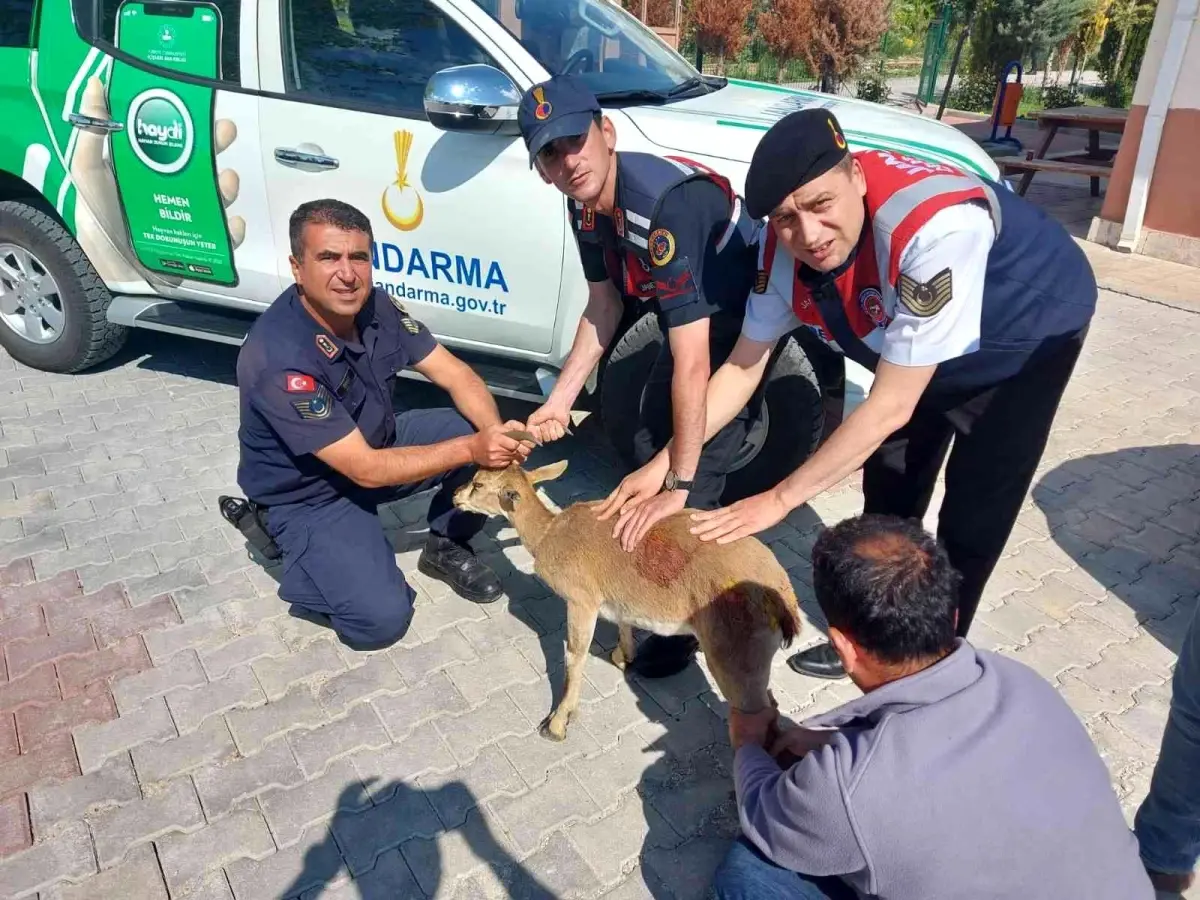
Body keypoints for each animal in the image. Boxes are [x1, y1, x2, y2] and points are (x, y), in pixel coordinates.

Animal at [453, 460, 801, 744]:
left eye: (479, 483)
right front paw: (624, 657)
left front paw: (556, 724)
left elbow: (575, 655)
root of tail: (785, 598)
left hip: (736, 657)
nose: (455, 495)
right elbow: (622, 622)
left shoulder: (581, 599)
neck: (548, 535)